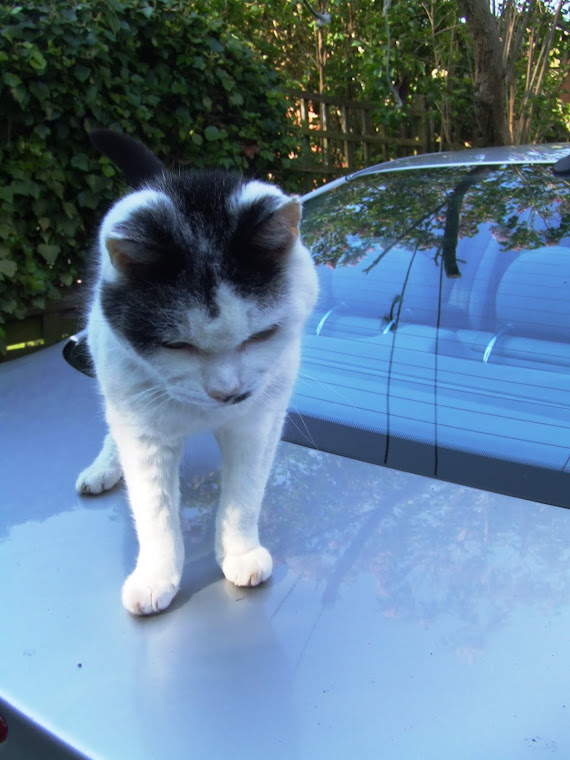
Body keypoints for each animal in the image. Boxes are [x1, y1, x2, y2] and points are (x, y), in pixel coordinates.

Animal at [73, 129, 318, 616]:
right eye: (177, 345)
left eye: (262, 335)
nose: (228, 392)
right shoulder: (143, 432)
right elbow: (155, 511)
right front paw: (156, 577)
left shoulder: (258, 422)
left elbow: (244, 497)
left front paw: (240, 553)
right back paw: (104, 468)